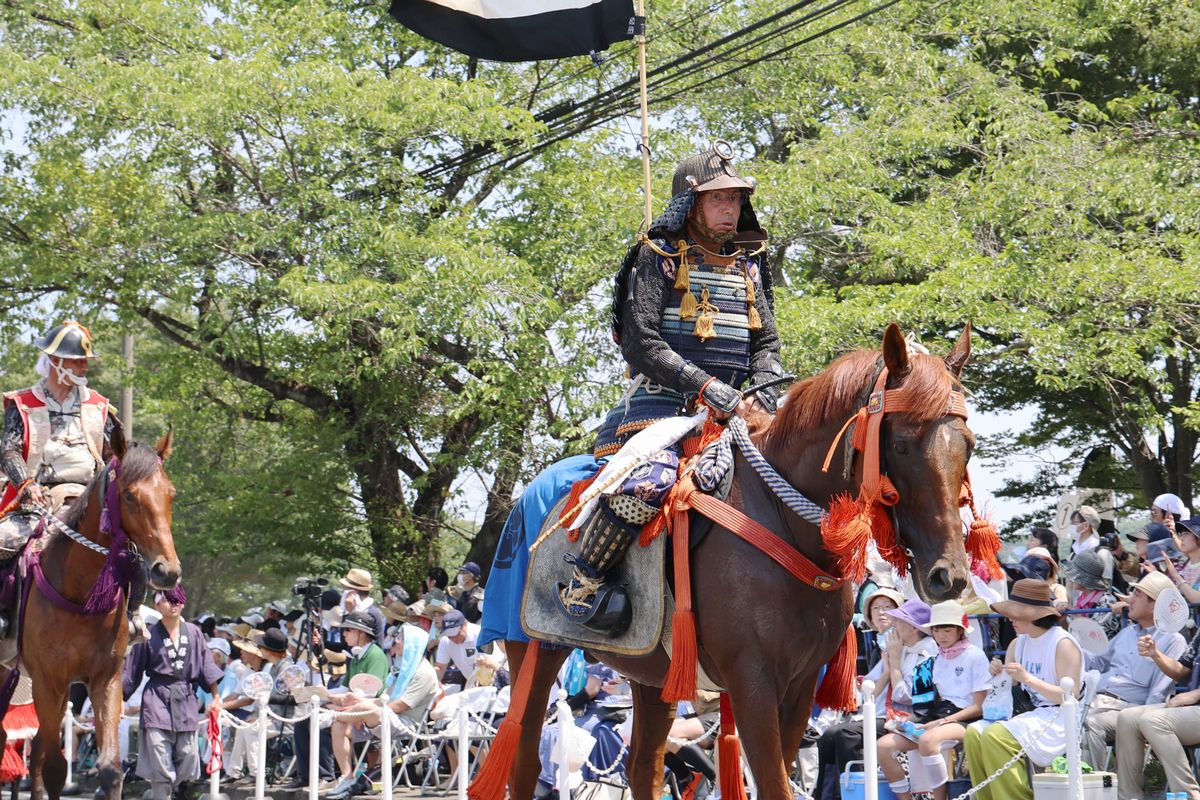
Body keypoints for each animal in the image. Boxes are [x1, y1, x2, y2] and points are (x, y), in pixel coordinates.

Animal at [0, 429, 180, 800]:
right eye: (129, 495)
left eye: (170, 494)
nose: (167, 571)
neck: (81, 595)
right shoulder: (48, 681)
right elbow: (55, 768)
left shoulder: (105, 678)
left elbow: (109, 769)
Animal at [494, 323, 974, 800]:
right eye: (902, 445)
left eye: (967, 446)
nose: (947, 575)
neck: (781, 519)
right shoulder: (752, 682)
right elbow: (775, 785)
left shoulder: (800, 686)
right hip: (531, 649)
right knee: (525, 759)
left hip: (652, 673)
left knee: (643, 767)